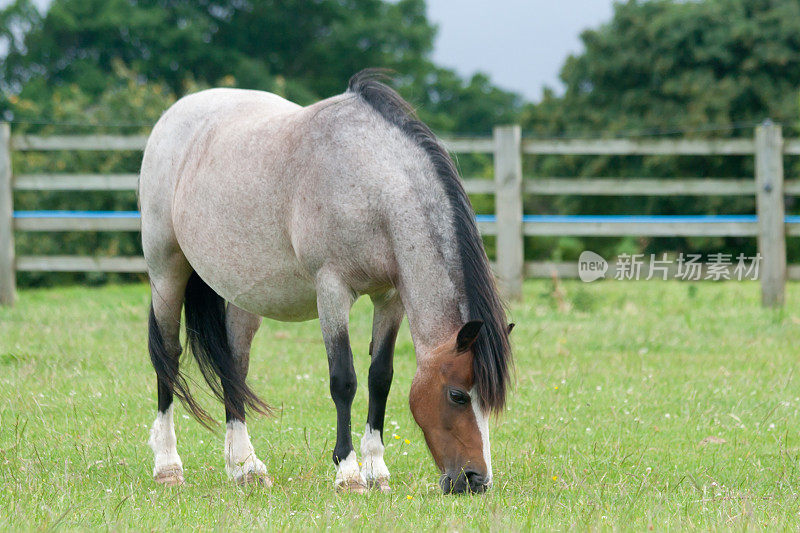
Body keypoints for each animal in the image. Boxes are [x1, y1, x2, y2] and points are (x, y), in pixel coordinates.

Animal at [138, 70, 512, 494]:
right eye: (457, 395)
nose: (475, 479)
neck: (371, 184)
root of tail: (175, 114)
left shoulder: (390, 298)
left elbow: (380, 377)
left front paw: (376, 470)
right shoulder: (332, 289)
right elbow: (343, 380)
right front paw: (348, 473)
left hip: (245, 296)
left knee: (234, 366)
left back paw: (245, 467)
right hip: (166, 271)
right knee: (168, 357)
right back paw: (168, 466)